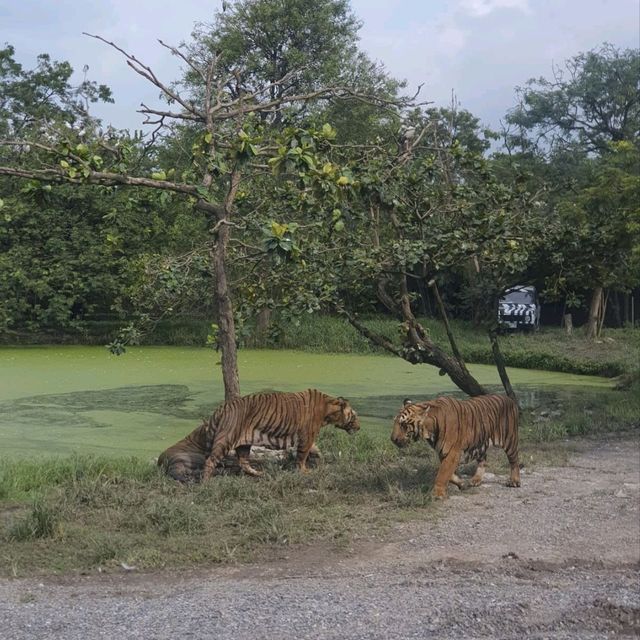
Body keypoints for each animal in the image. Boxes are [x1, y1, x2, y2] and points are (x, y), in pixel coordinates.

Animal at [390, 396, 520, 500]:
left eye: (403, 424)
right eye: (395, 422)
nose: (392, 439)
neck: (429, 431)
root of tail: (508, 398)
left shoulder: (452, 453)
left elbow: (442, 474)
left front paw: (437, 494)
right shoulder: (443, 453)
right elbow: (450, 474)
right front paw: (462, 483)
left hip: (509, 440)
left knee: (514, 461)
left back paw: (514, 481)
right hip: (480, 443)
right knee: (483, 459)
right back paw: (476, 480)